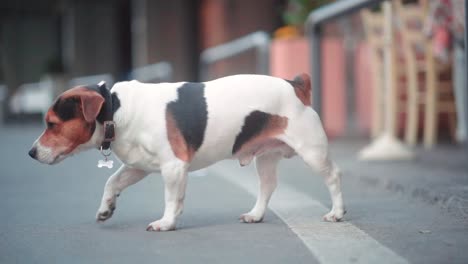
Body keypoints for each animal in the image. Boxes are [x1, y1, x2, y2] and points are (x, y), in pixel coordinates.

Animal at [28, 73, 344, 231]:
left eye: (51, 124)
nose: (31, 153)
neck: (116, 109)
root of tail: (295, 85)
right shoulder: (138, 166)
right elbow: (112, 182)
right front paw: (106, 208)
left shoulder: (173, 167)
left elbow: (172, 200)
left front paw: (167, 223)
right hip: (265, 157)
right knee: (268, 186)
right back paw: (256, 215)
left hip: (312, 152)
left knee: (333, 177)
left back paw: (337, 213)